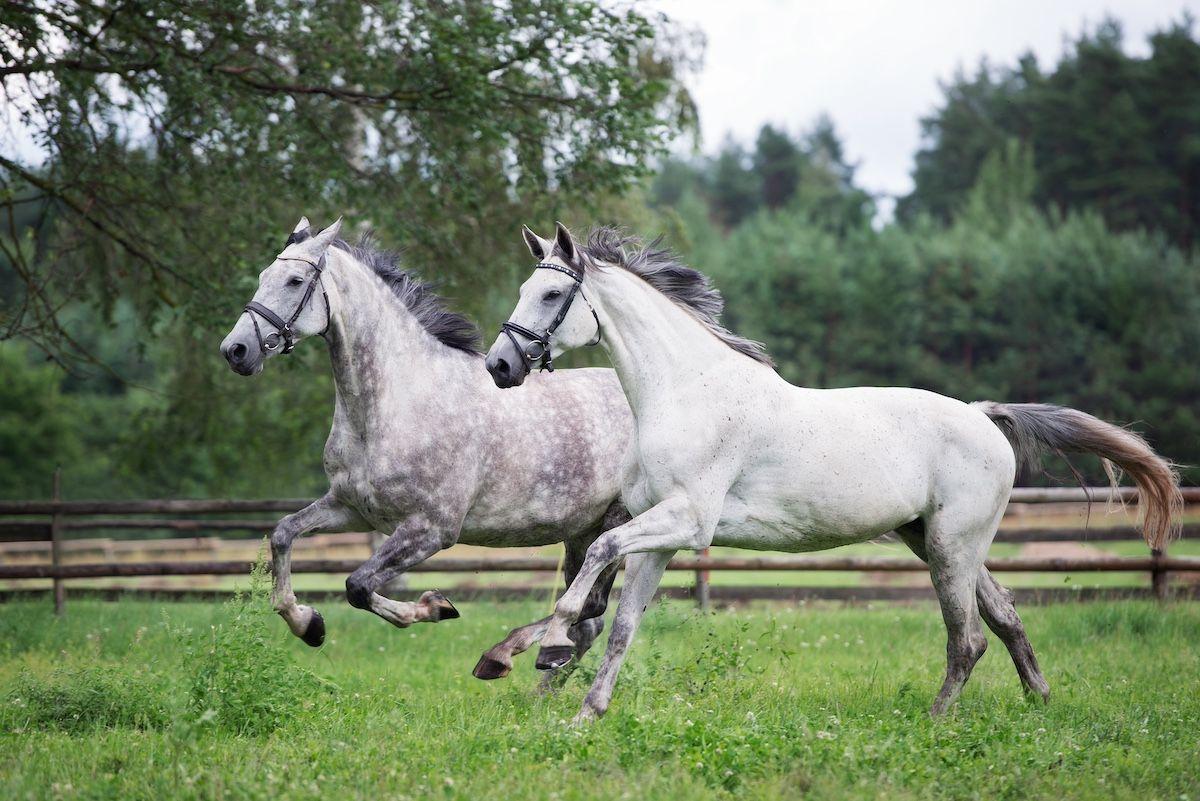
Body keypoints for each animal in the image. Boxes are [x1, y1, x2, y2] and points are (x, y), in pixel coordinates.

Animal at [484, 221, 1180, 724]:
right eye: (522, 291)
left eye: (551, 294)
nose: (499, 366)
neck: (686, 392)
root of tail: (983, 415)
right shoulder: (662, 535)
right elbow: (623, 624)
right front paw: (586, 714)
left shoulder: (687, 521)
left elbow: (598, 556)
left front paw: (550, 646)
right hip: (935, 540)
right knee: (1005, 617)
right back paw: (1039, 702)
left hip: (952, 547)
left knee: (968, 639)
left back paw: (937, 722)